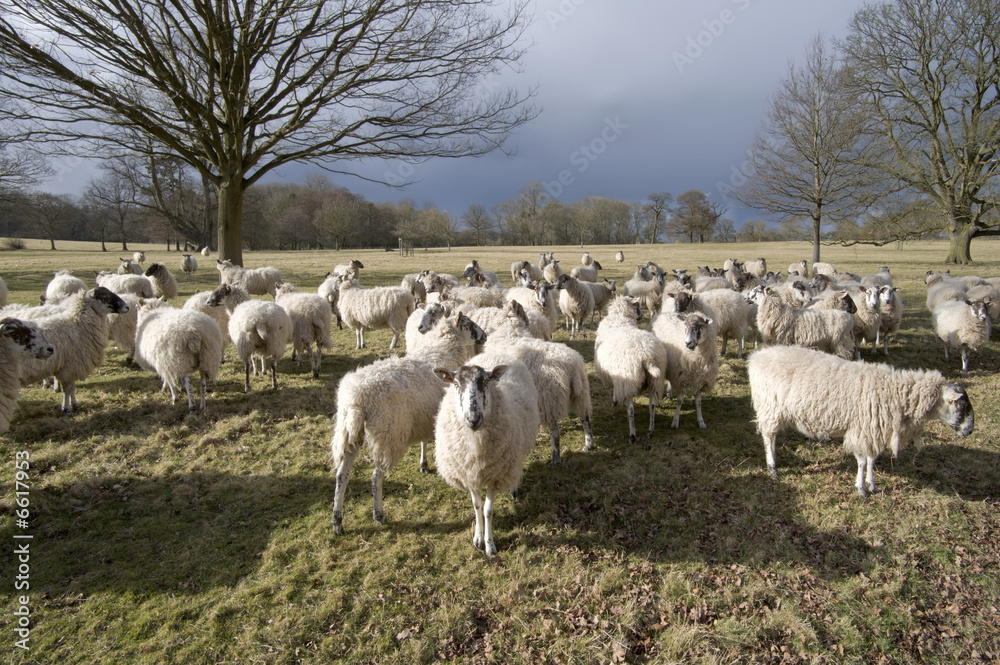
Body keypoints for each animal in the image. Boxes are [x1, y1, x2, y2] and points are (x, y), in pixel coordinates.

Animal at [330, 312, 487, 534]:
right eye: (469, 323)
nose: (485, 335)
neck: (447, 348)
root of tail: (356, 398)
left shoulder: (426, 415)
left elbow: (425, 440)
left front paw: (424, 464)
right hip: (388, 435)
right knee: (376, 477)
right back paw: (379, 515)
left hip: (350, 433)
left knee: (342, 475)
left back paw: (337, 521)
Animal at [433, 355, 540, 557]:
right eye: (456, 384)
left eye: (485, 382)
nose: (473, 419)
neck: (476, 448)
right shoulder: (469, 474)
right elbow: (477, 506)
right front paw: (478, 538)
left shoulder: (496, 476)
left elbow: (488, 510)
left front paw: (490, 545)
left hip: (515, 452)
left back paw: (514, 488)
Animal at [593, 295, 667, 442]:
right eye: (637, 305)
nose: (642, 315)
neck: (620, 317)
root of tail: (647, 356)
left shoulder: (618, 378)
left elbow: (615, 391)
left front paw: (614, 402)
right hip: (655, 381)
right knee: (652, 405)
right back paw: (650, 431)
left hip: (628, 380)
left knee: (631, 409)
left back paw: (632, 435)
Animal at [747, 345, 975, 496]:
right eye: (962, 405)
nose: (970, 431)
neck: (896, 393)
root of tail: (756, 357)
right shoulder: (862, 428)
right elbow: (863, 461)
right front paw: (860, 488)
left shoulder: (873, 429)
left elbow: (872, 459)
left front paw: (871, 485)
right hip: (769, 408)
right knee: (768, 438)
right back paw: (772, 467)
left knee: (772, 438)